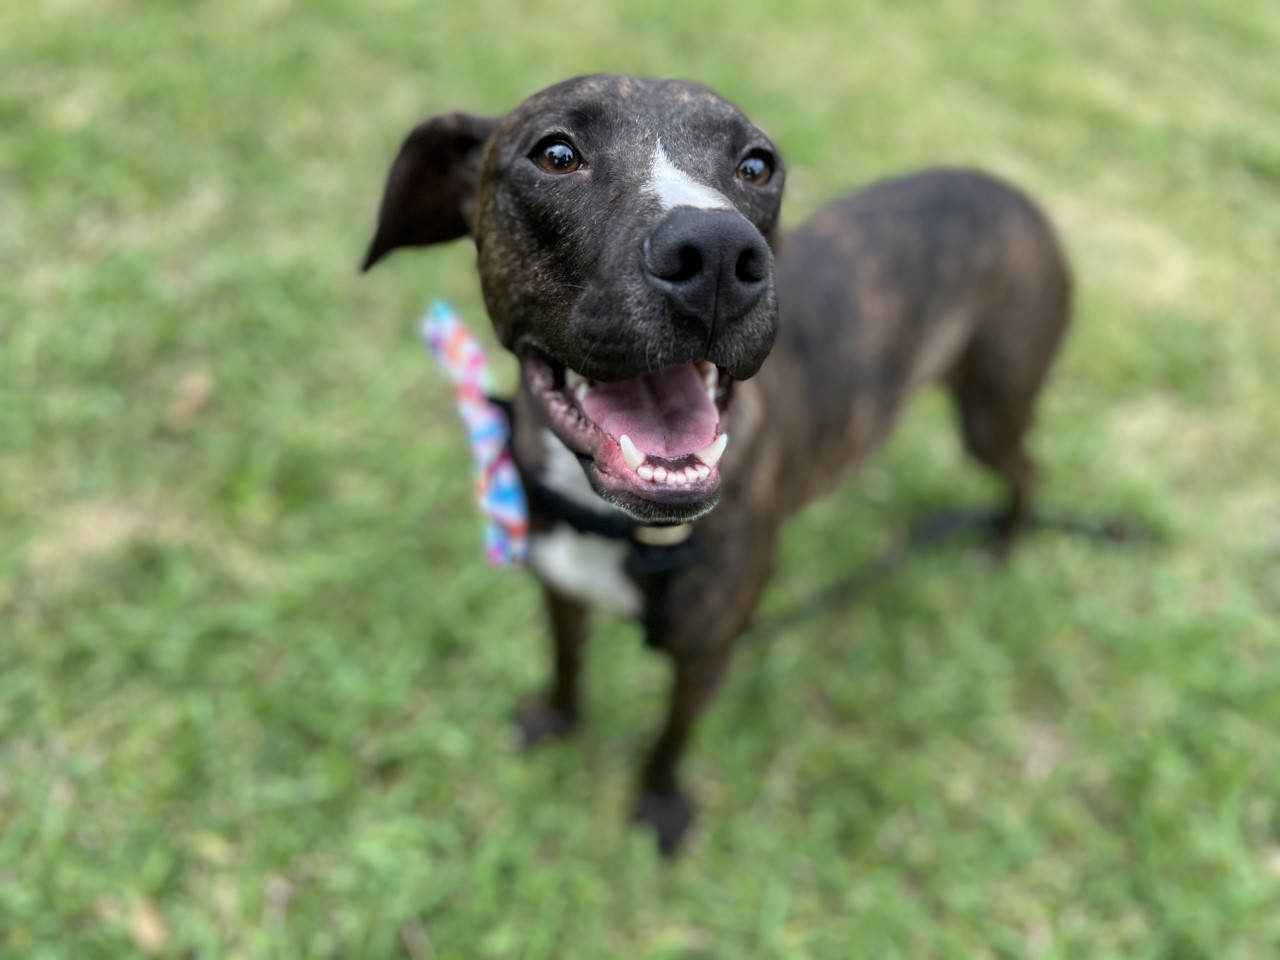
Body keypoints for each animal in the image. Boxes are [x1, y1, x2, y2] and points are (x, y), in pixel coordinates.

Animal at [360, 73, 1070, 855]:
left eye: (756, 166)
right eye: (556, 154)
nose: (720, 251)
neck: (620, 528)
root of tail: (1013, 191)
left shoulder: (706, 653)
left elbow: (670, 738)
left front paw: (659, 805)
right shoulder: (559, 589)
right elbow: (568, 662)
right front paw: (557, 720)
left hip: (991, 409)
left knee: (1029, 471)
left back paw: (1002, 546)